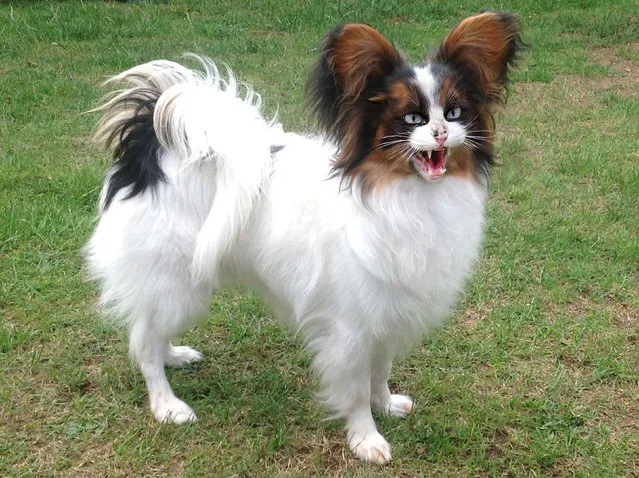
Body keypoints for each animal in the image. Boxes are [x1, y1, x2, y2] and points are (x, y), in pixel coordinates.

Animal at [85, 13, 524, 464]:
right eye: (412, 120)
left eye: (454, 113)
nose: (440, 132)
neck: (402, 194)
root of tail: (149, 143)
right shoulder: (350, 324)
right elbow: (355, 388)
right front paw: (365, 438)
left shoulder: (386, 309)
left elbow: (380, 370)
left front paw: (385, 403)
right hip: (174, 279)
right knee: (144, 342)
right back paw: (167, 405)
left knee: (151, 332)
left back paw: (175, 355)